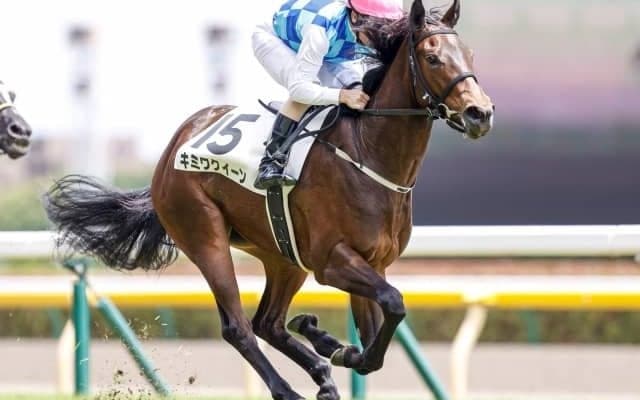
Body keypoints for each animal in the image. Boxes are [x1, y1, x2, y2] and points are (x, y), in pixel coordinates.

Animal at [45, 1, 493, 399]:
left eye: (470, 54)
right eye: (432, 58)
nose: (480, 113)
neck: (369, 154)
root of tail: (173, 145)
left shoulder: (373, 262)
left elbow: (373, 344)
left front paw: (326, 341)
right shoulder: (332, 261)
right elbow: (394, 306)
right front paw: (329, 344)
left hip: (282, 253)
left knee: (269, 322)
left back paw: (321, 373)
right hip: (204, 236)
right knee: (239, 327)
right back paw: (288, 389)